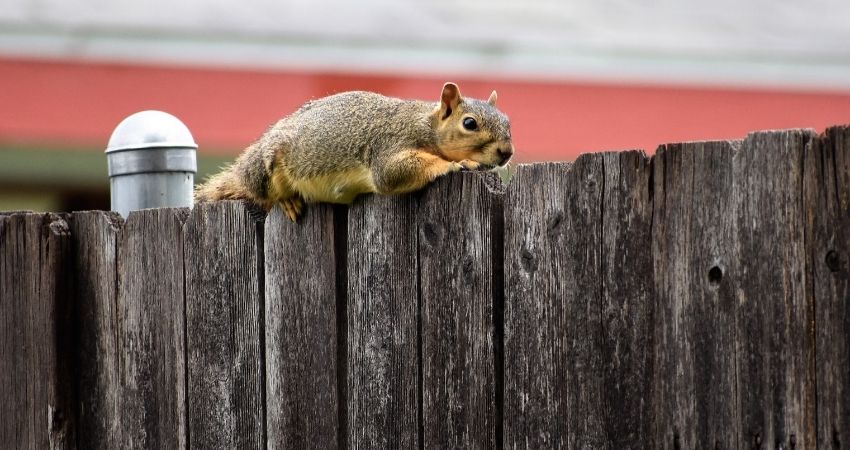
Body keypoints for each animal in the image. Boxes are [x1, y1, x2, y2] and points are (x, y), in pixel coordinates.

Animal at [195, 82, 512, 221]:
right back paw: (286, 200)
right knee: (261, 191)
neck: (426, 125)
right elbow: (391, 174)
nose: (507, 152)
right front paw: (458, 162)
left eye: (508, 121)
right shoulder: (390, 145)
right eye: (469, 123)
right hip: (265, 167)